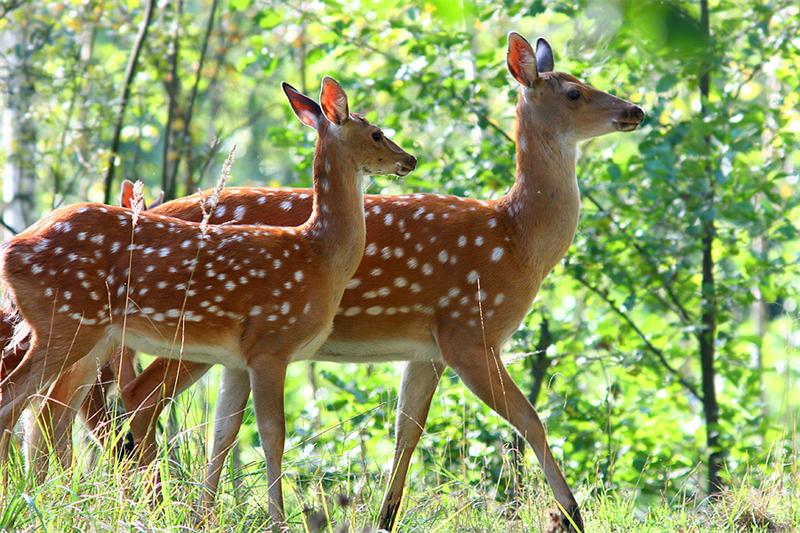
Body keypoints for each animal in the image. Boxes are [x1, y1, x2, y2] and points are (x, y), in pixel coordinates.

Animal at [0, 78, 416, 524]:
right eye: (376, 132)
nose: (409, 159)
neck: (318, 256)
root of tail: (12, 250)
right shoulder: (271, 343)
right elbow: (273, 435)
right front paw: (279, 520)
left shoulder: (237, 357)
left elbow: (225, 431)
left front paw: (206, 515)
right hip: (64, 320)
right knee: (16, 399)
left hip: (95, 336)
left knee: (47, 412)